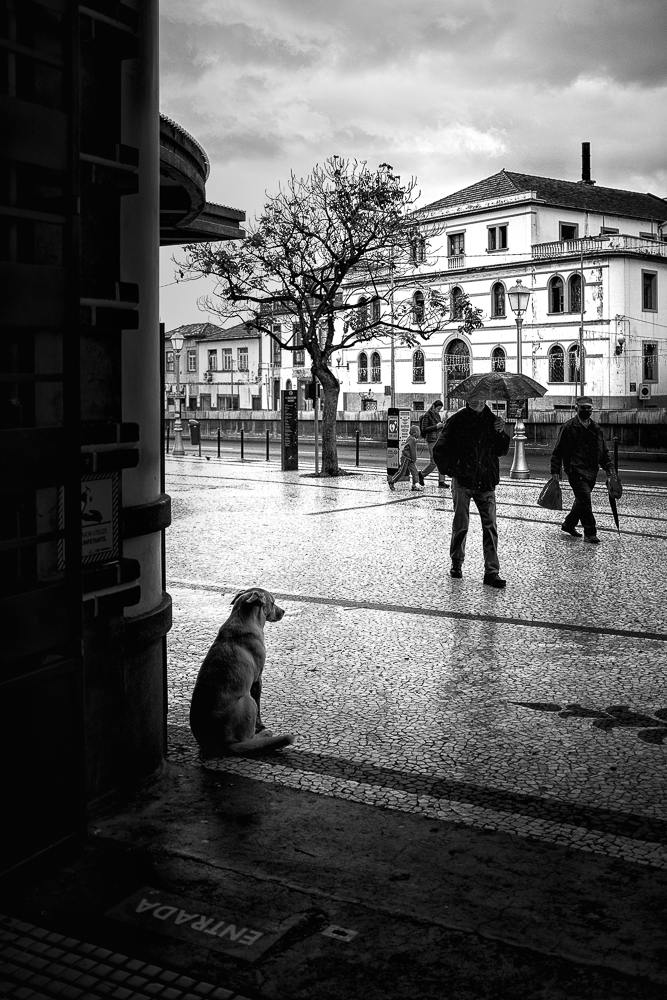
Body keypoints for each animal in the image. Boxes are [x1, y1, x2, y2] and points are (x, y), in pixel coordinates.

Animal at [188, 584, 292, 756]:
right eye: (273, 602)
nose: (283, 611)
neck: (243, 619)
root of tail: (223, 745)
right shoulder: (257, 680)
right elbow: (259, 711)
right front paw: (261, 726)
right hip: (248, 701)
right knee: (248, 738)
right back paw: (265, 735)